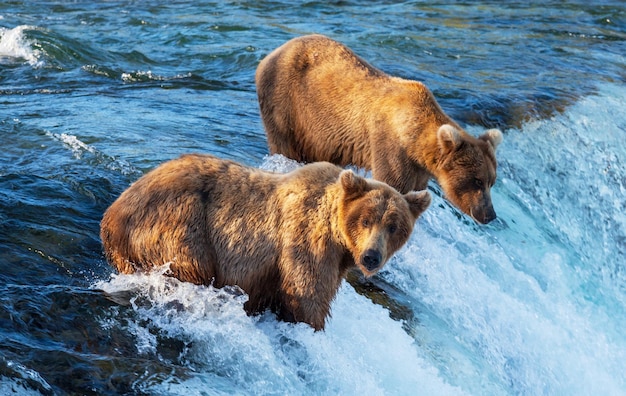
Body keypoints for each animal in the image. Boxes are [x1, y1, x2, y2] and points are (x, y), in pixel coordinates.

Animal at [100, 153, 428, 330]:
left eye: (394, 226)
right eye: (366, 219)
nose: (372, 256)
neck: (339, 238)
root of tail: (111, 216)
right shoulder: (305, 241)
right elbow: (307, 296)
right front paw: (312, 325)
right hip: (179, 224)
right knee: (191, 264)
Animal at [254, 34, 502, 223]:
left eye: (491, 181)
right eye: (477, 180)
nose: (489, 214)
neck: (414, 139)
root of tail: (271, 54)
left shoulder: (418, 168)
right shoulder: (391, 146)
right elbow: (392, 183)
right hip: (288, 105)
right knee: (285, 144)